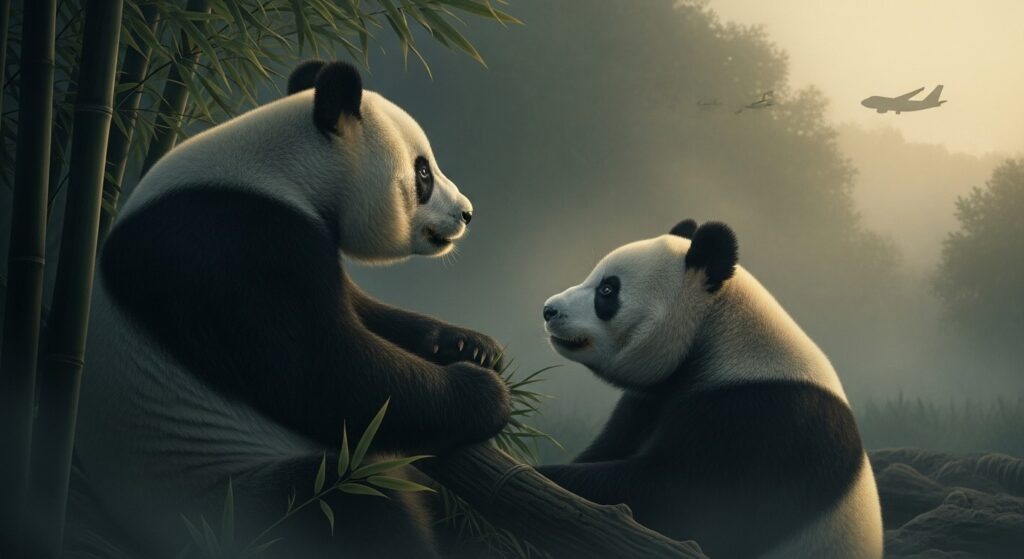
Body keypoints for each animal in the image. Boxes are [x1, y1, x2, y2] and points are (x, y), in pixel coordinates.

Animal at [74, 60, 510, 558]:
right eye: (422, 173)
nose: (466, 213)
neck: (285, 170)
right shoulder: (231, 243)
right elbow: (321, 370)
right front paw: (483, 392)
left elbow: (364, 313)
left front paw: (472, 346)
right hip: (236, 492)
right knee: (354, 508)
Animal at [537, 220, 883, 558]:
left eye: (607, 290)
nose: (549, 310)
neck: (717, 331)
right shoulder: (652, 399)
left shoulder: (761, 417)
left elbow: (676, 492)